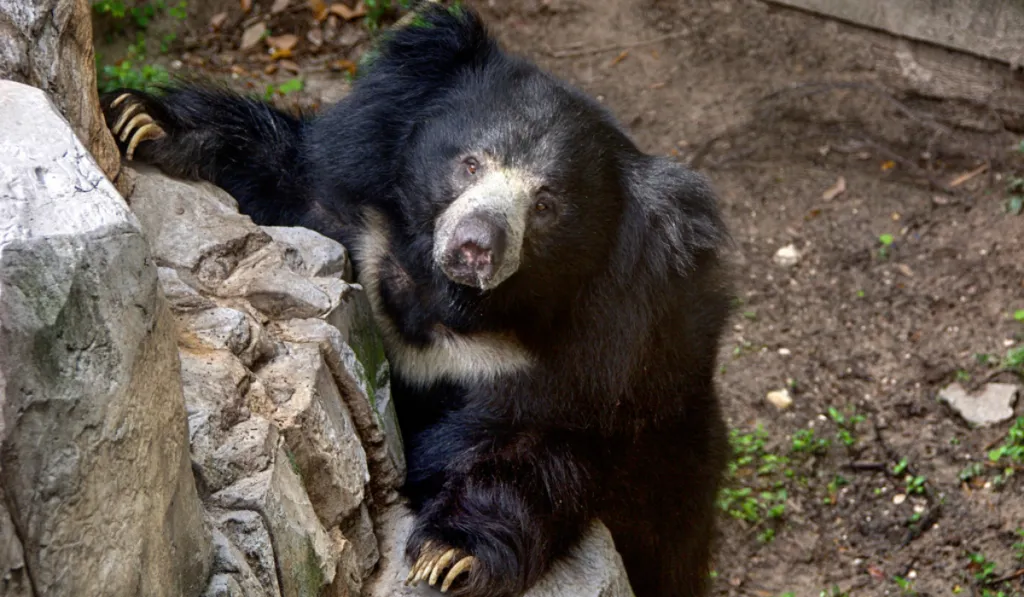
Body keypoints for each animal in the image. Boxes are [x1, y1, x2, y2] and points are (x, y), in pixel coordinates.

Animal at [100, 4, 734, 597]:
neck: (447, 302)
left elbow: (541, 451)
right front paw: (142, 119)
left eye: (546, 204)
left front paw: (451, 554)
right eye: (470, 163)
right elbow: (290, 182)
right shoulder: (361, 223)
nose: (475, 245)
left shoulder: (613, 358)